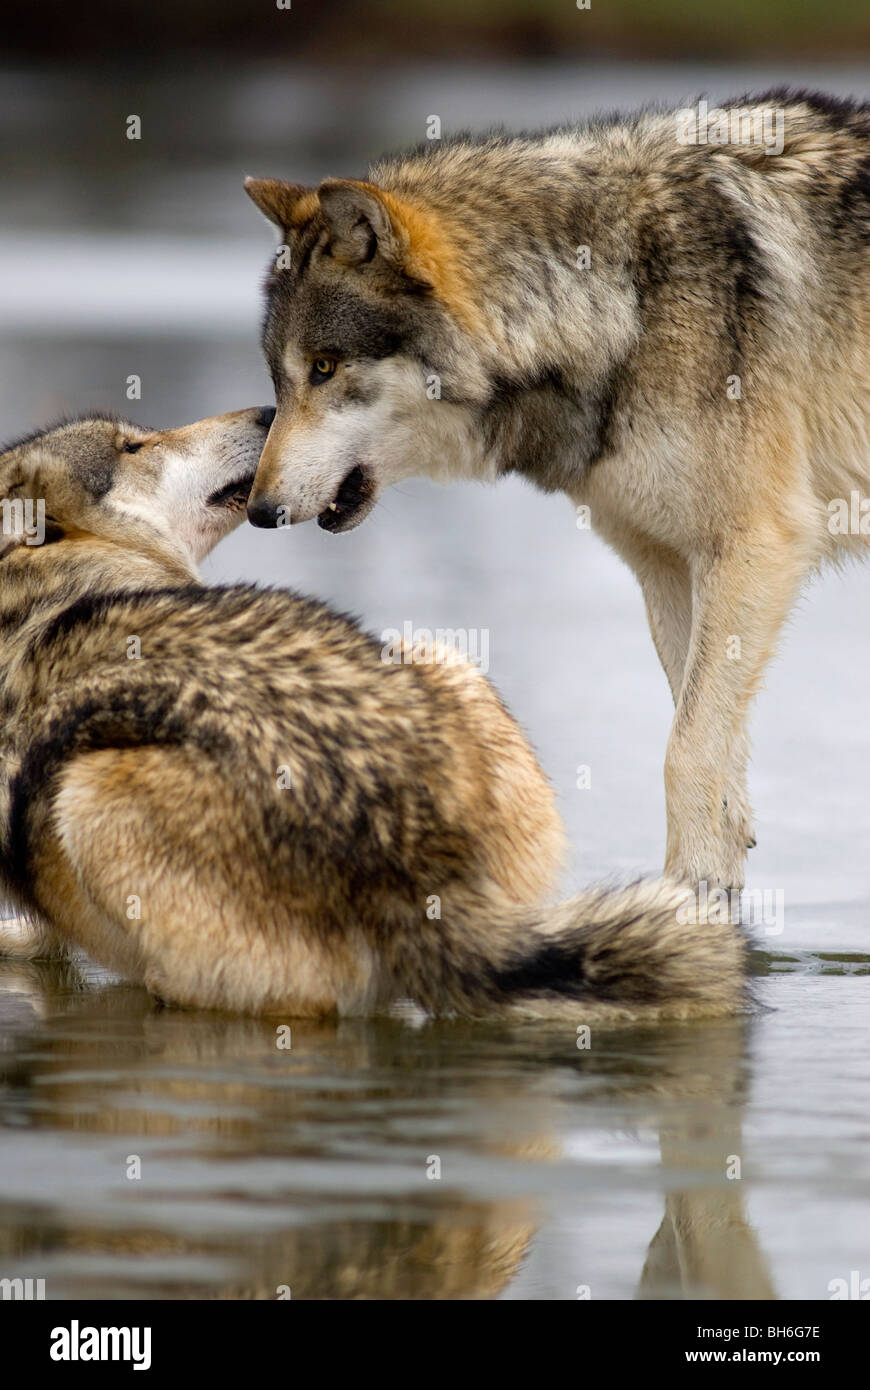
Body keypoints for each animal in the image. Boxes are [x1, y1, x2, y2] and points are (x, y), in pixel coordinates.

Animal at [243, 89, 870, 891]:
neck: (627, 304)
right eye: (279, 379)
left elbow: (687, 749)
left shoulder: (756, 547)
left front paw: (687, 896)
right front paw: (713, 887)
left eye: (324, 368)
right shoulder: (667, 565)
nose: (259, 512)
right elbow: (709, 747)